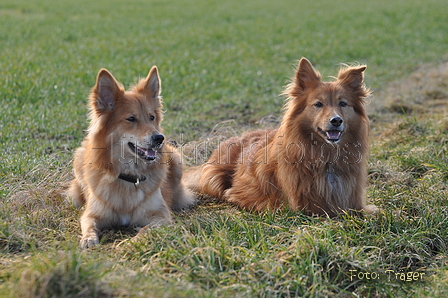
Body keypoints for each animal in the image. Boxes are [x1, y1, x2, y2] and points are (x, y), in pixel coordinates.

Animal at [67, 66, 194, 248]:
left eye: (151, 117)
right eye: (131, 119)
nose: (159, 138)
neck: (129, 176)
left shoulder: (161, 216)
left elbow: (145, 230)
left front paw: (130, 242)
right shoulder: (91, 214)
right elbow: (89, 224)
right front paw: (88, 239)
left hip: (176, 160)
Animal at [186, 58, 378, 217]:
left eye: (343, 103)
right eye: (318, 104)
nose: (336, 120)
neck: (326, 157)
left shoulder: (353, 202)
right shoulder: (304, 208)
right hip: (214, 179)